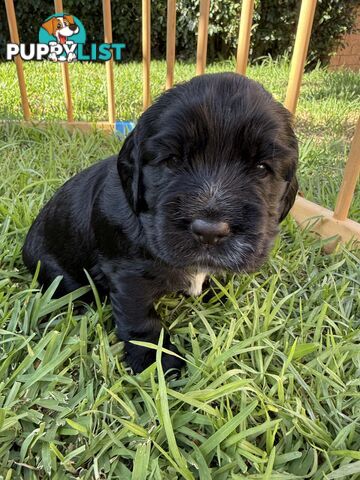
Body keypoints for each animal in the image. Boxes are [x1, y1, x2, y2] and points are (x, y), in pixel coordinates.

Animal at [23, 73, 298, 376]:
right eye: (172, 160)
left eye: (262, 168)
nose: (210, 232)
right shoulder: (127, 274)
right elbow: (141, 319)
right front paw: (156, 361)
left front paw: (218, 293)